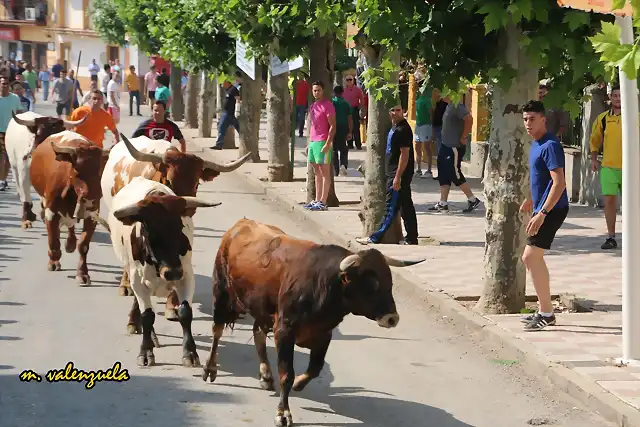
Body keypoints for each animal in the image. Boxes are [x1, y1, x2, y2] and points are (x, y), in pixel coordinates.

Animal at [30, 130, 110, 284]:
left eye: (100, 172)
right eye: (78, 172)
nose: (91, 199)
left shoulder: (92, 215)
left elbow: (83, 245)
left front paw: (82, 273)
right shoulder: (51, 210)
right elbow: (53, 240)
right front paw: (53, 261)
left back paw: (70, 244)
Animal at [201, 221, 424, 427]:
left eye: (390, 282)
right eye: (371, 284)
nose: (392, 318)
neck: (324, 283)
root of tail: (240, 225)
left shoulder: (323, 334)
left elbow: (315, 368)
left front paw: (299, 384)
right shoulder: (284, 331)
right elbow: (286, 374)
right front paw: (283, 413)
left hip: (262, 309)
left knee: (257, 333)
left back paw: (266, 376)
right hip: (221, 292)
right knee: (217, 331)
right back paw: (210, 368)